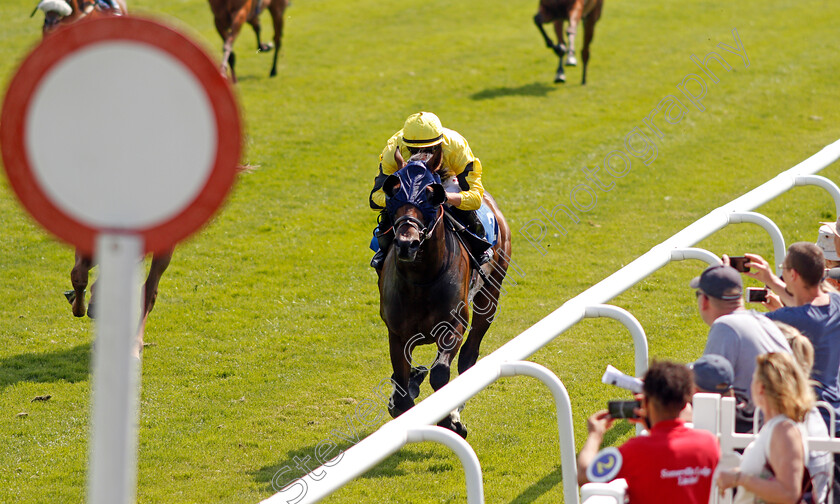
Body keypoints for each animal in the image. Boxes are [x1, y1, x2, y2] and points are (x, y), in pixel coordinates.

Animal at [380, 148, 512, 436]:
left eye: (432, 194)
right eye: (392, 191)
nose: (407, 243)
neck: (422, 279)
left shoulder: (454, 325)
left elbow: (441, 374)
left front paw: (451, 420)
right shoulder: (397, 334)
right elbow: (403, 388)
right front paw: (404, 396)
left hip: (490, 294)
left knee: (468, 356)